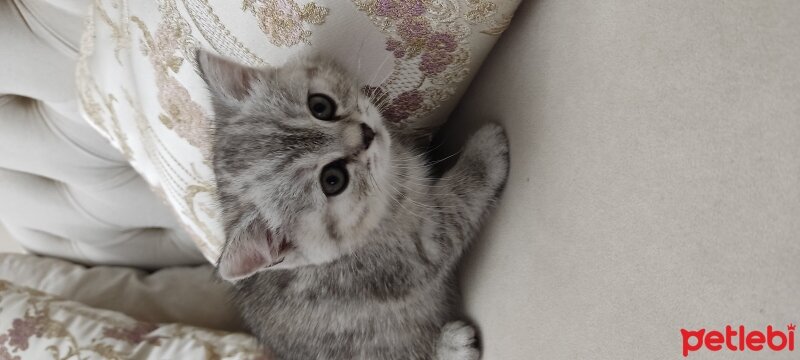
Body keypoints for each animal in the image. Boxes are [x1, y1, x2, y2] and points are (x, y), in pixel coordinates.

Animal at [197, 48, 510, 360]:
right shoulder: (415, 254)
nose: (366, 132)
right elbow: (456, 204)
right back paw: (454, 345)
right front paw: (485, 150)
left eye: (320, 106)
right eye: (333, 179)